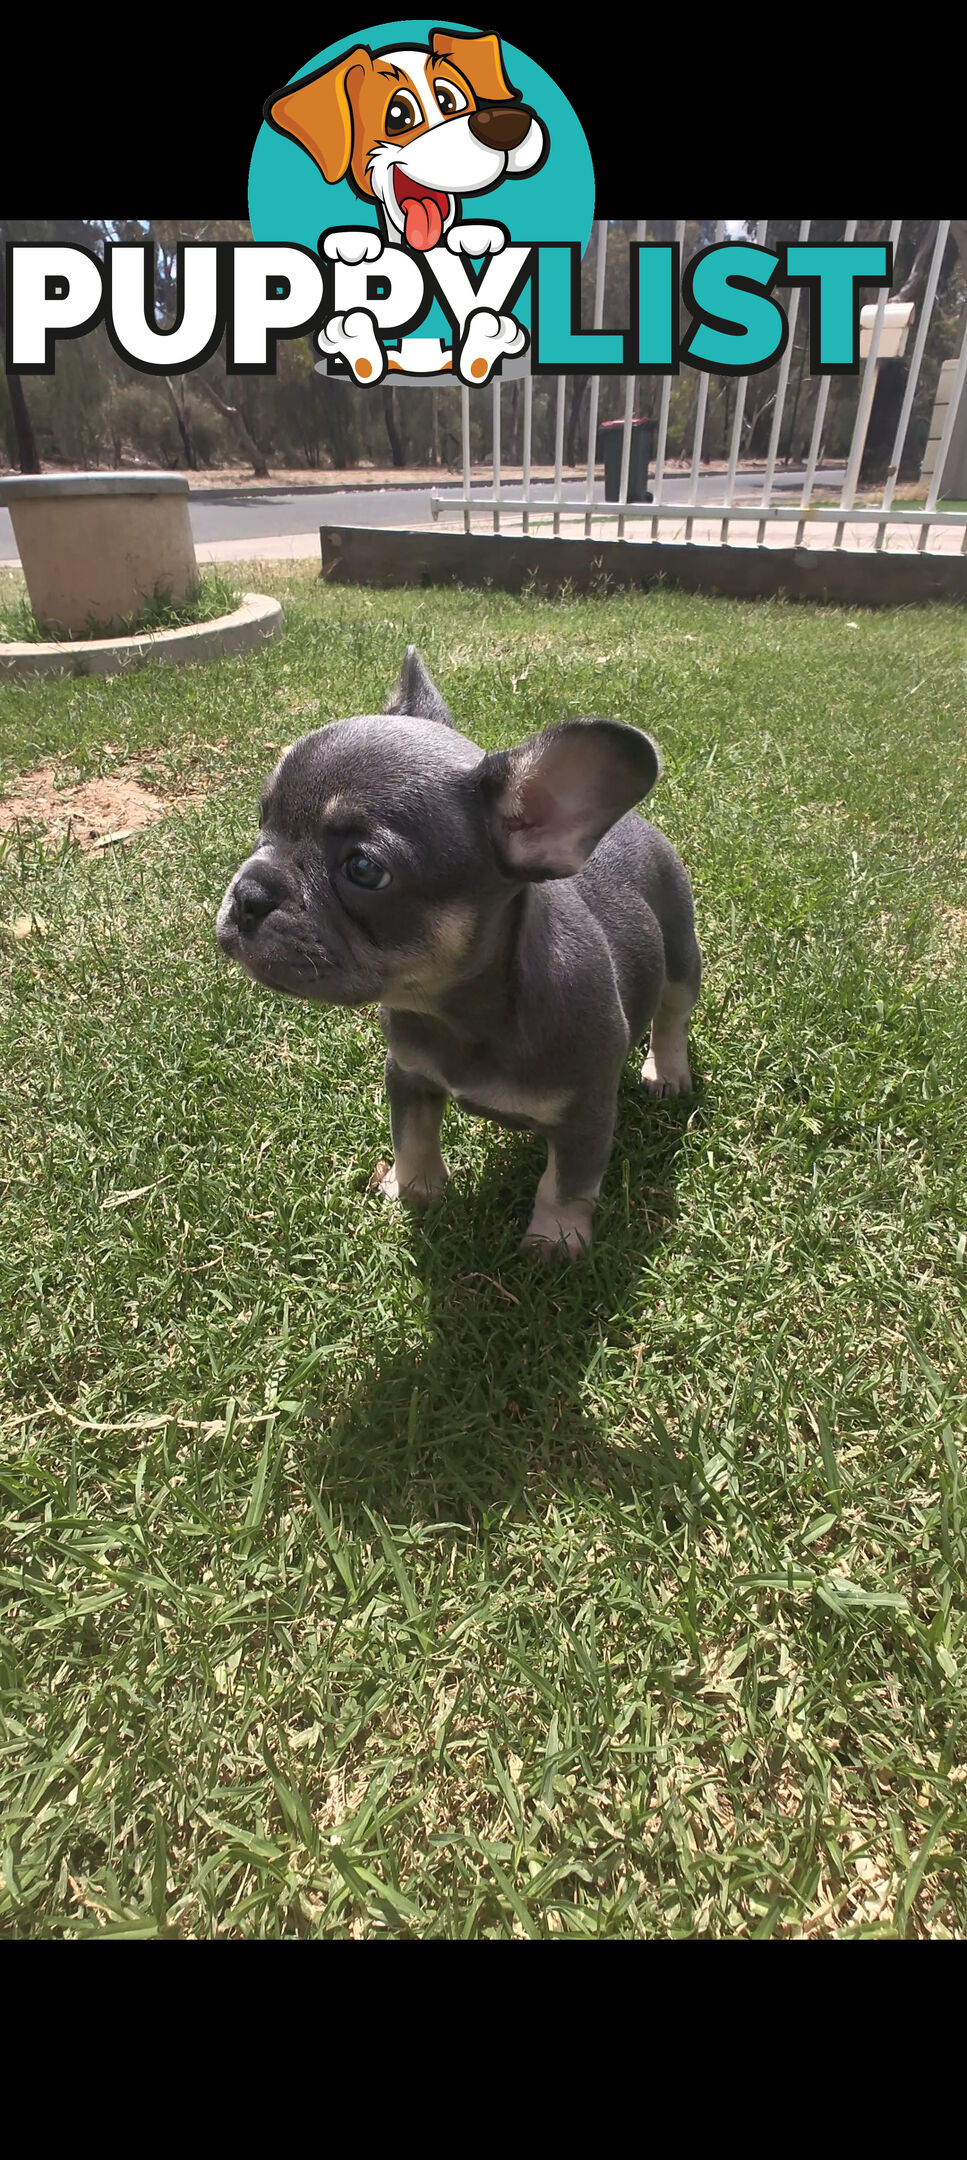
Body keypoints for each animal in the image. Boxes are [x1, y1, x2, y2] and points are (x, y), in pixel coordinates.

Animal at [216, 639, 703, 1261]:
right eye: (262, 822)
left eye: (364, 870)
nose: (248, 894)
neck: (460, 1010)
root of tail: (634, 823)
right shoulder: (408, 1075)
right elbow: (412, 1138)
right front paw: (413, 1190)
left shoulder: (587, 1114)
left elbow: (566, 1184)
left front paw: (554, 1242)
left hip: (681, 953)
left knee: (673, 1015)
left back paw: (667, 1069)